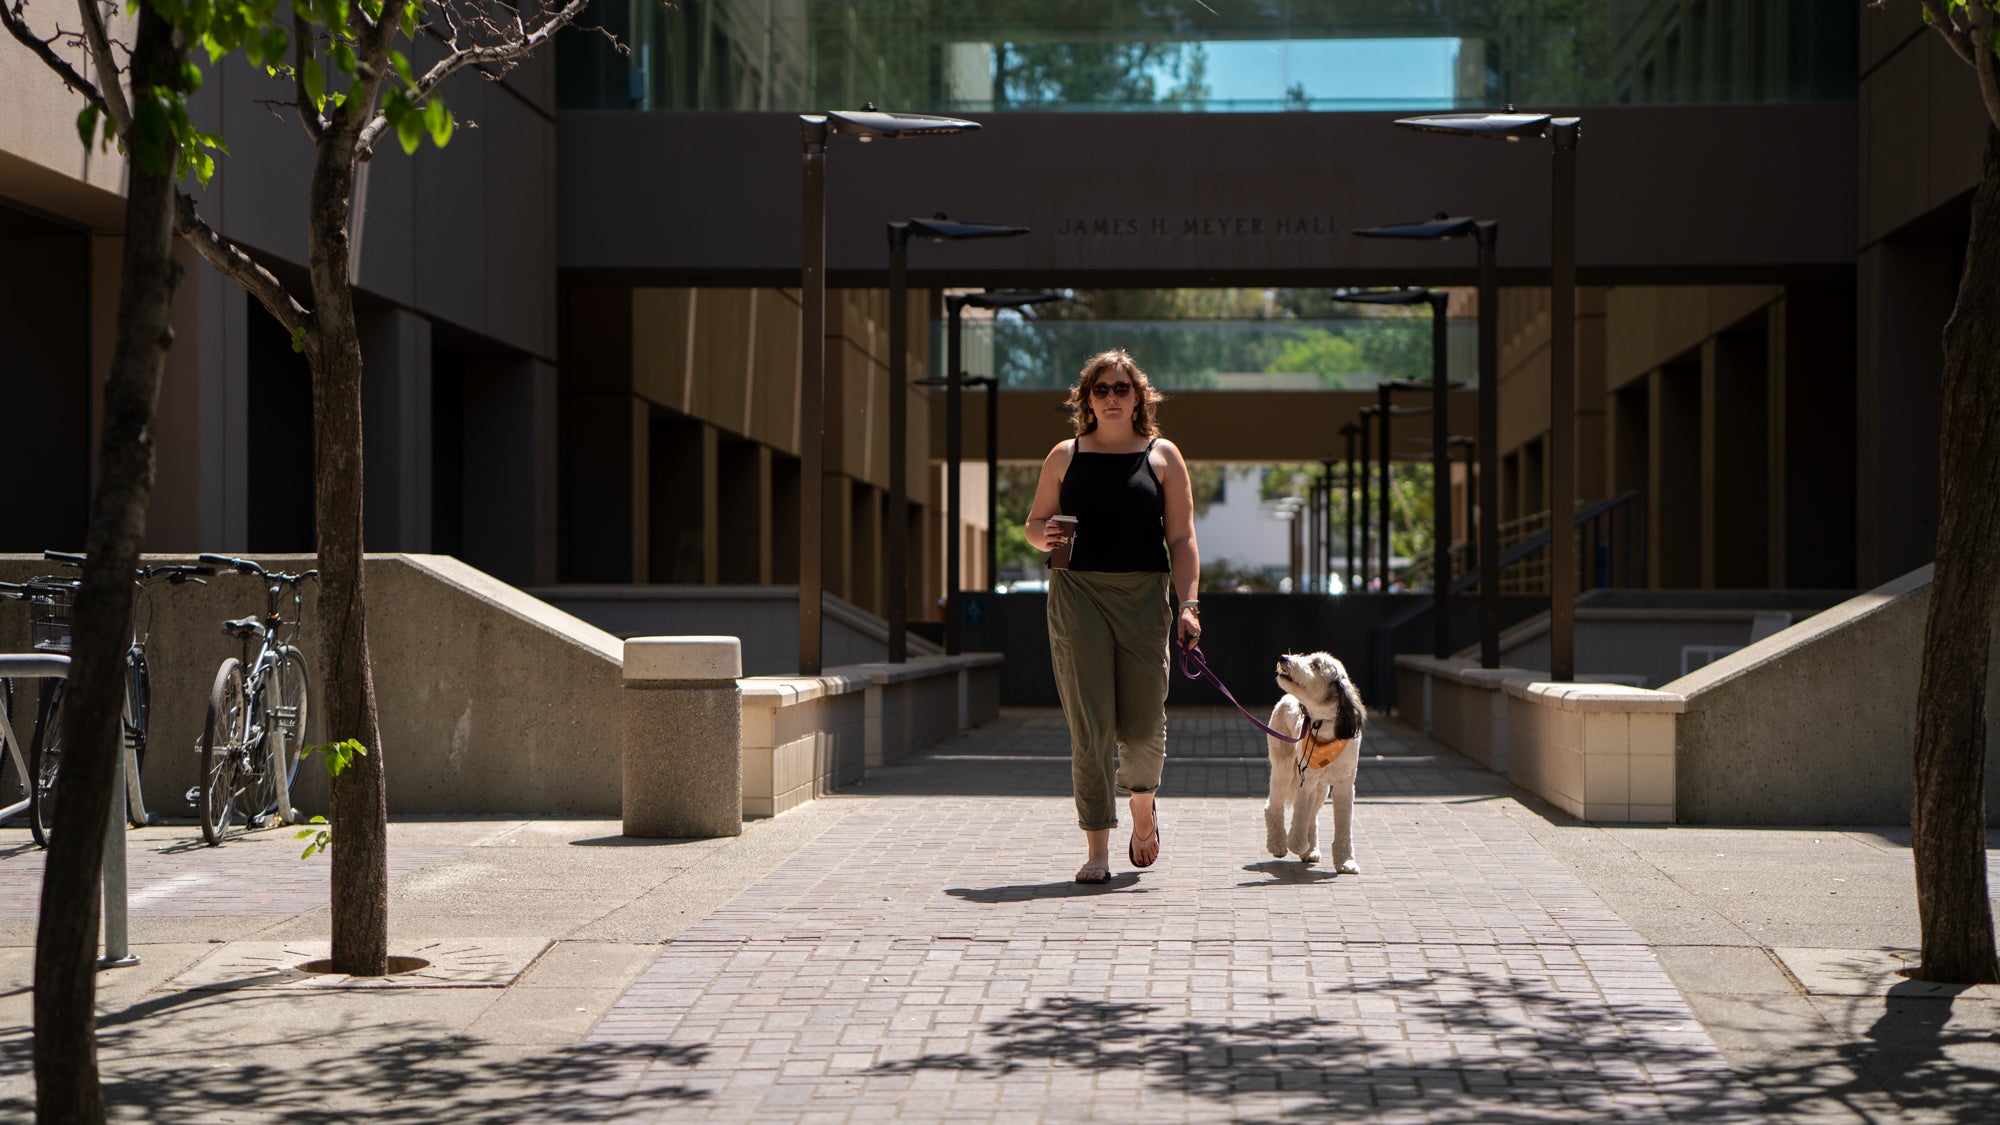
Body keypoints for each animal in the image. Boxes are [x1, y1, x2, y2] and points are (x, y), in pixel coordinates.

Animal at [1256, 648, 1368, 868]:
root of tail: (1287, 698)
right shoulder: (1305, 781)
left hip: (1321, 788)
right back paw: (1278, 844)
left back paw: (1311, 850)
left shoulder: (1344, 787)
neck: (1324, 727)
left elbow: (1344, 827)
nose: (1284, 658)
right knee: (1273, 806)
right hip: (1283, 767)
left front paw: (1346, 861)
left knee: (1312, 818)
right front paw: (1296, 844)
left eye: (1315, 665)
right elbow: (1300, 814)